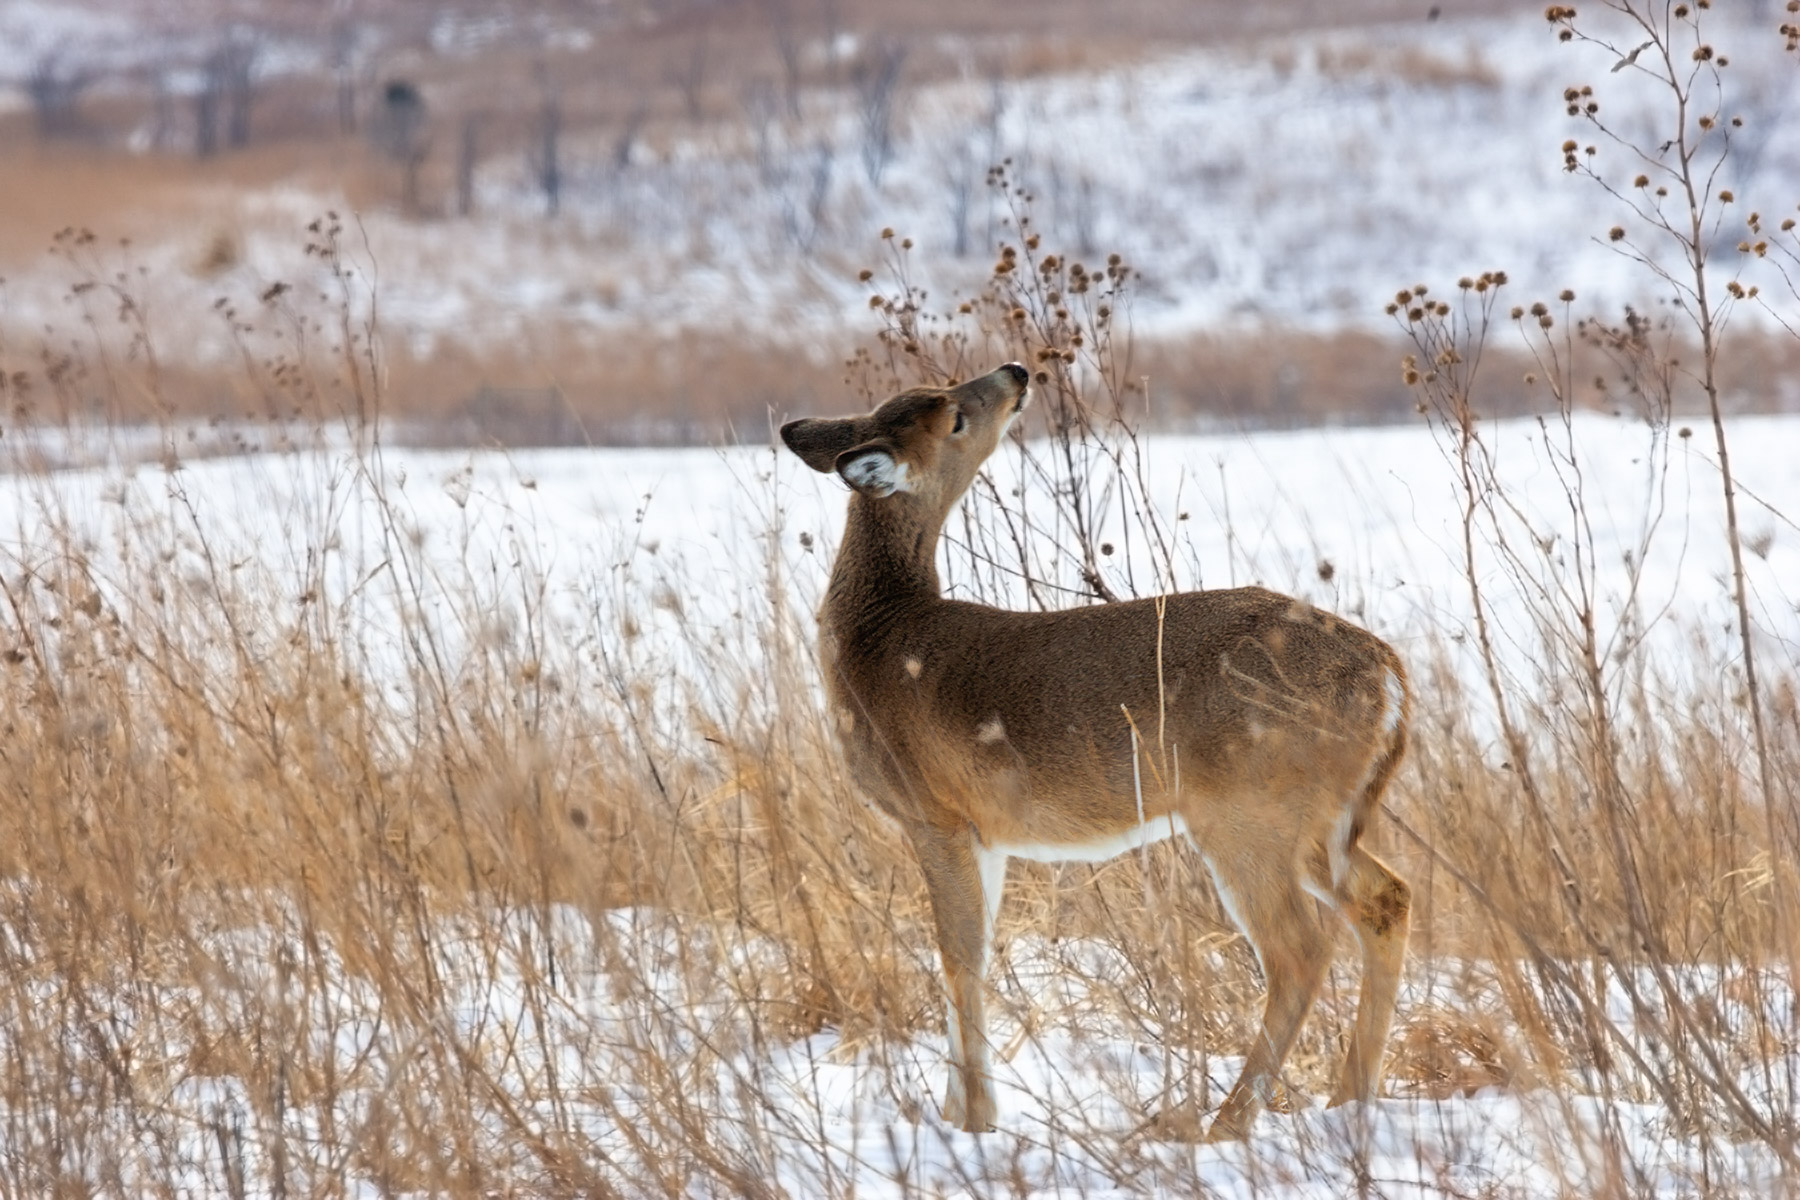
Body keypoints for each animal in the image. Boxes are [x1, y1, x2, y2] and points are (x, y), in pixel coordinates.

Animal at [780, 363, 1412, 1142]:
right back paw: (1348, 1101)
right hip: (1323, 820)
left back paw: (1225, 1124)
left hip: (1248, 812)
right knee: (1387, 900)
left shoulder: (935, 812)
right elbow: (971, 953)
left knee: (1300, 948)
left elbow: (960, 958)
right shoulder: (981, 832)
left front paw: (975, 1122)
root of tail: (1388, 675)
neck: (876, 645)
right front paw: (959, 1115)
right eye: (951, 413)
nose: (1016, 371)